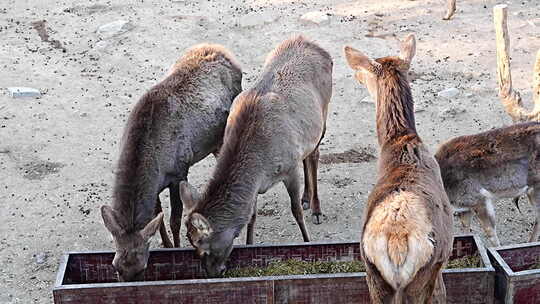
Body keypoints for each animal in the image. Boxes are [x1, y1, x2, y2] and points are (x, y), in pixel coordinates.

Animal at [98, 44, 242, 282]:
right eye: (115, 266)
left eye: (142, 268)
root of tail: (224, 51)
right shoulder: (155, 185)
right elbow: (159, 217)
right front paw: (165, 244)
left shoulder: (178, 173)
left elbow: (175, 220)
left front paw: (175, 247)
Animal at [177, 35, 332, 278]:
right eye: (192, 246)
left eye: (204, 249)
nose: (212, 273)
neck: (261, 165)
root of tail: (313, 43)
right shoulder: (256, 185)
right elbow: (251, 216)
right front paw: (250, 246)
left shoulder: (289, 168)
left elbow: (295, 211)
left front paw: (308, 244)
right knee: (307, 156)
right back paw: (307, 198)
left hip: (323, 114)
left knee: (314, 155)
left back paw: (316, 208)